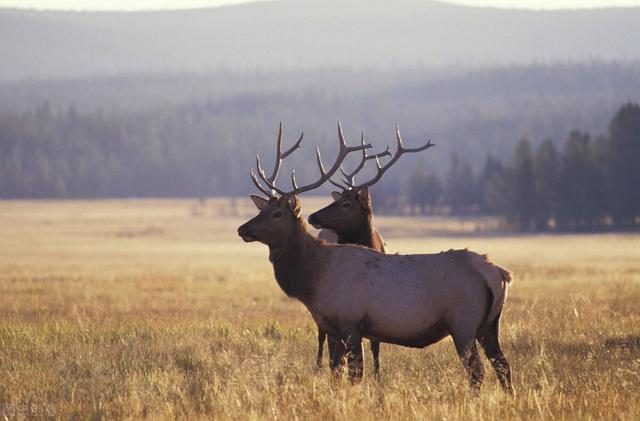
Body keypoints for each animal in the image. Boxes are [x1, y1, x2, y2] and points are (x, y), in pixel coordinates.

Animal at [240, 123, 516, 392]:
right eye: (262, 210)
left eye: (277, 214)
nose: (241, 229)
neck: (313, 279)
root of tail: (499, 273)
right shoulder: (331, 328)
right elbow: (336, 372)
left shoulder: (351, 323)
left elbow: (355, 375)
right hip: (490, 324)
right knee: (503, 365)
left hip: (463, 322)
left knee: (477, 371)